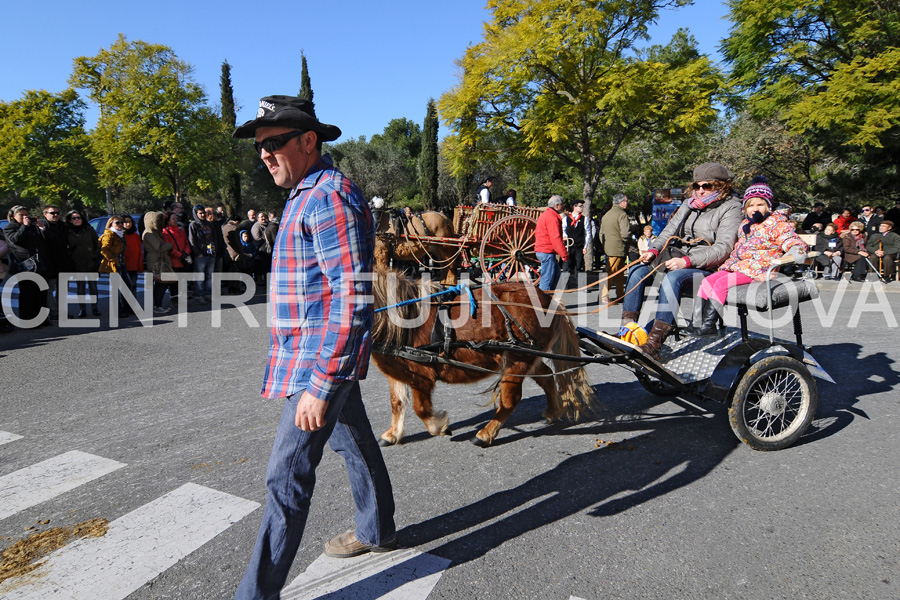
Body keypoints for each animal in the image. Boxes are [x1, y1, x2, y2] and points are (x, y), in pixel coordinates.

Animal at [370, 268, 596, 446]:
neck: (404, 319)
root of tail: (549, 300)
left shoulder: (421, 374)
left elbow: (421, 409)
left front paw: (440, 426)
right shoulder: (397, 370)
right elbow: (397, 402)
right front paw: (393, 434)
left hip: (517, 360)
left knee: (510, 398)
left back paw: (486, 434)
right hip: (527, 356)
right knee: (547, 378)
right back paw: (551, 412)